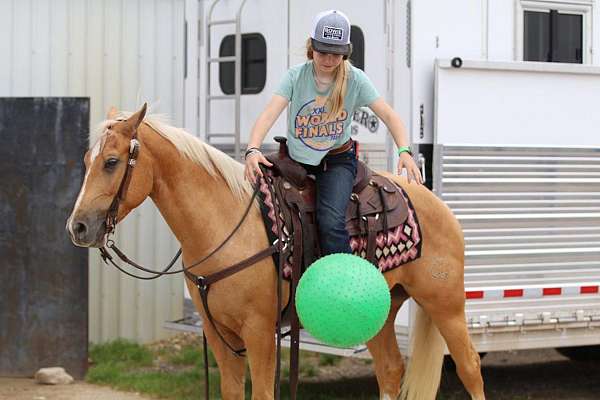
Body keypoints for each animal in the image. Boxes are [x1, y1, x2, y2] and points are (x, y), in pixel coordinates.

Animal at [67, 104, 488, 398]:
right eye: (88, 160)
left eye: (111, 162)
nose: (78, 227)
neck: (224, 224)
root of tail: (435, 203)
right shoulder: (218, 334)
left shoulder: (259, 332)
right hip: (381, 312)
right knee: (390, 370)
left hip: (445, 302)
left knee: (469, 366)